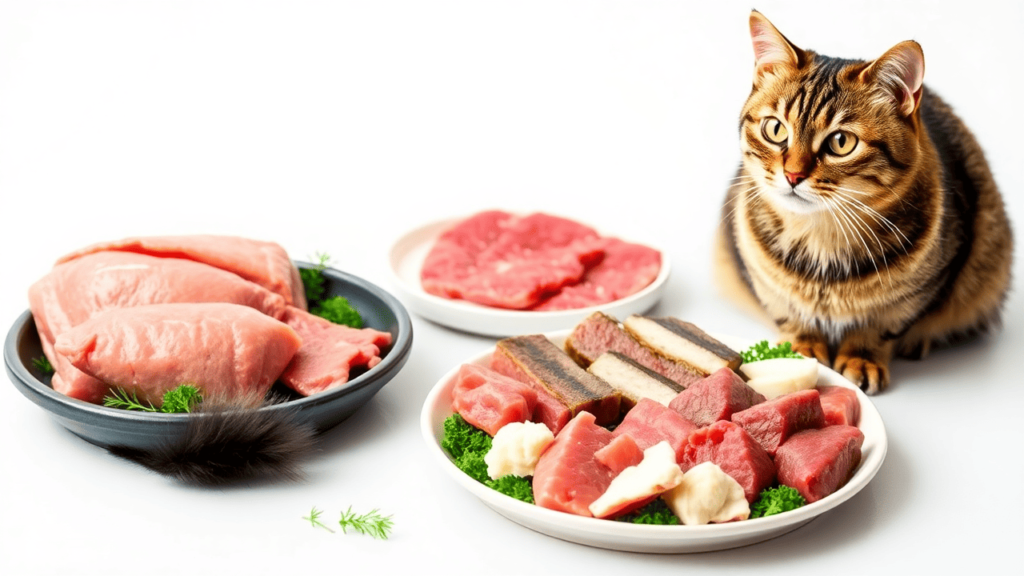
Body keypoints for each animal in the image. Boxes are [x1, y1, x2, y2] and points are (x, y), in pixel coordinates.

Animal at [720, 11, 1015, 391]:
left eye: (841, 142)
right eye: (775, 129)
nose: (793, 175)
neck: (821, 242)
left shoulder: (922, 288)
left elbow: (879, 325)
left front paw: (861, 357)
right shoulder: (763, 281)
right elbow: (791, 315)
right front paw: (801, 350)